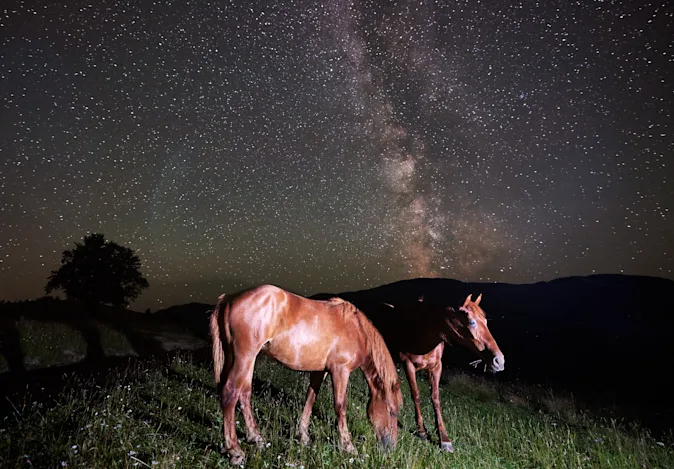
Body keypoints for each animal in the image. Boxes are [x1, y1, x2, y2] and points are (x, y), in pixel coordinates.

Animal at [209, 284, 403, 465]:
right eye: (392, 412)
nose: (392, 448)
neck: (357, 331)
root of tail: (229, 298)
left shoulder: (320, 371)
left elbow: (310, 398)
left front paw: (303, 436)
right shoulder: (341, 371)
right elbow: (340, 407)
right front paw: (348, 446)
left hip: (243, 358)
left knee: (244, 393)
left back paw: (255, 437)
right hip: (244, 356)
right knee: (230, 393)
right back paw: (235, 450)